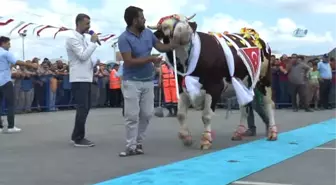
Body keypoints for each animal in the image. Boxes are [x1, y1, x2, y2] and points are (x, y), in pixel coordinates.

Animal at [148, 13, 276, 150]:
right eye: (165, 27)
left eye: (186, 22)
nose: (184, 30)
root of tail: (253, 35)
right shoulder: (181, 87)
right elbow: (181, 114)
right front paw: (186, 138)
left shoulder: (215, 87)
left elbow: (206, 115)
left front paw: (206, 140)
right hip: (244, 84)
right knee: (244, 105)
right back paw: (239, 132)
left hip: (264, 79)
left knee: (268, 103)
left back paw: (272, 132)